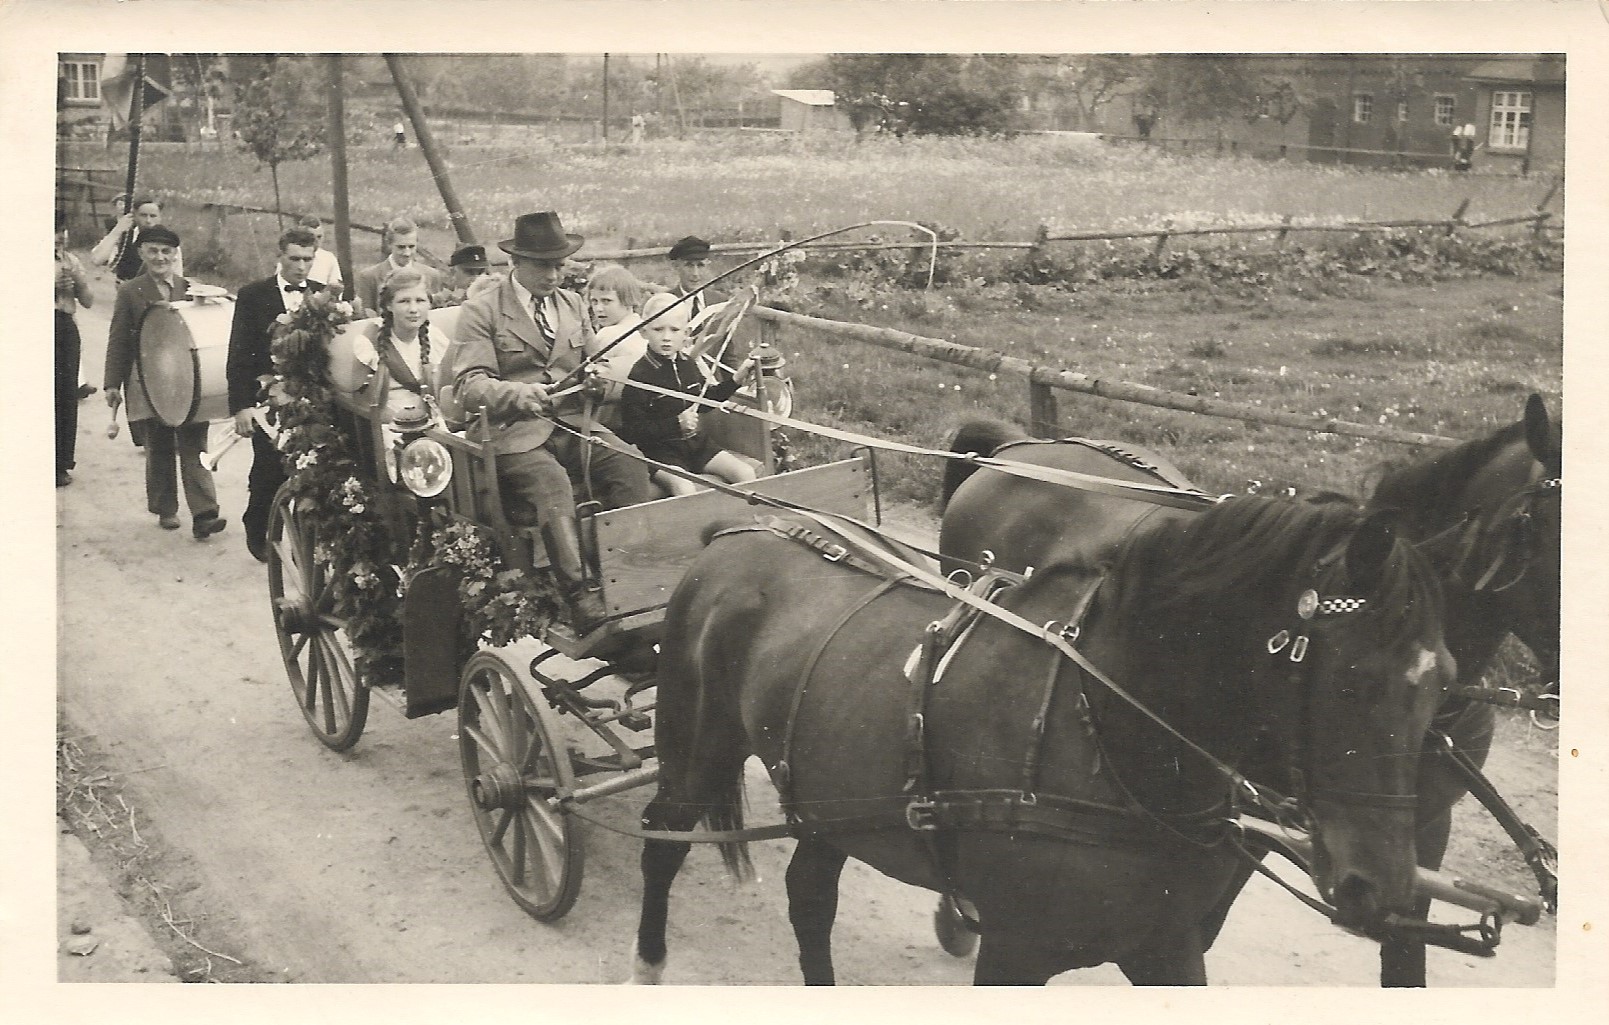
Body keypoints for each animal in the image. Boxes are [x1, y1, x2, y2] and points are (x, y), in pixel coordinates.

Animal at [633, 495, 1454, 984]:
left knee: (809, 893)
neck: (1104, 742)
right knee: (661, 839)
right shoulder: (1016, 949)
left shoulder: (1166, 945)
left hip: (828, 793)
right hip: (693, 750)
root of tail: (731, 534)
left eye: (1441, 681)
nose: (1384, 889)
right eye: (1352, 684)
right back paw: (647, 964)